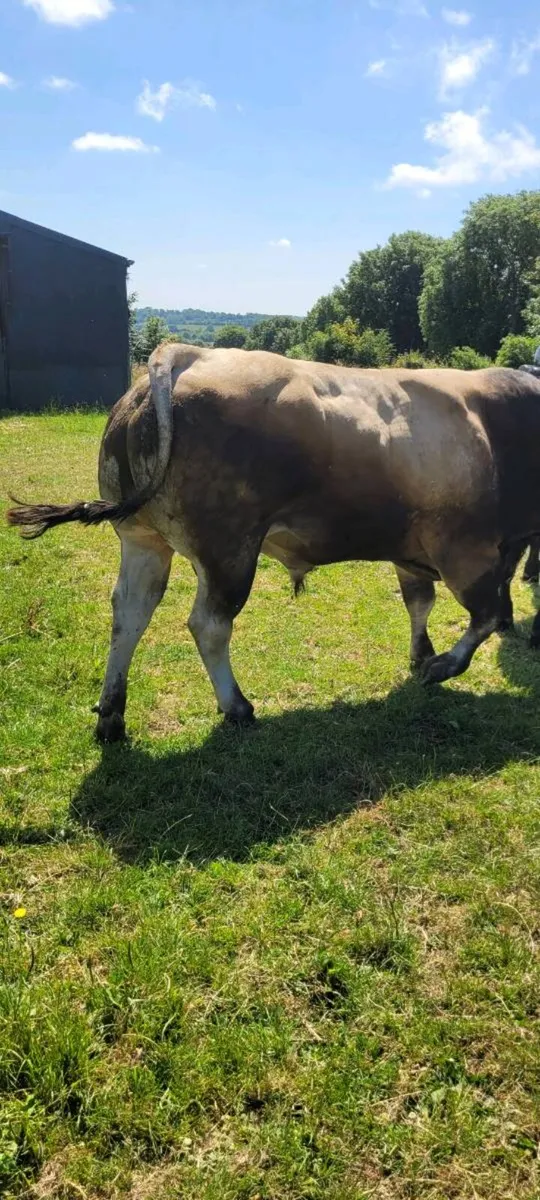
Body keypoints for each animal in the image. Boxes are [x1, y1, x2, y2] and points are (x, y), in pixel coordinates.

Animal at [7, 344, 540, 742]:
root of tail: (184, 354)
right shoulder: (465, 548)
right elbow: (484, 614)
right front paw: (444, 664)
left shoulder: (412, 548)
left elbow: (420, 602)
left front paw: (421, 655)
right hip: (230, 548)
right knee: (208, 624)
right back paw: (236, 706)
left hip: (143, 540)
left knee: (130, 614)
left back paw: (112, 716)